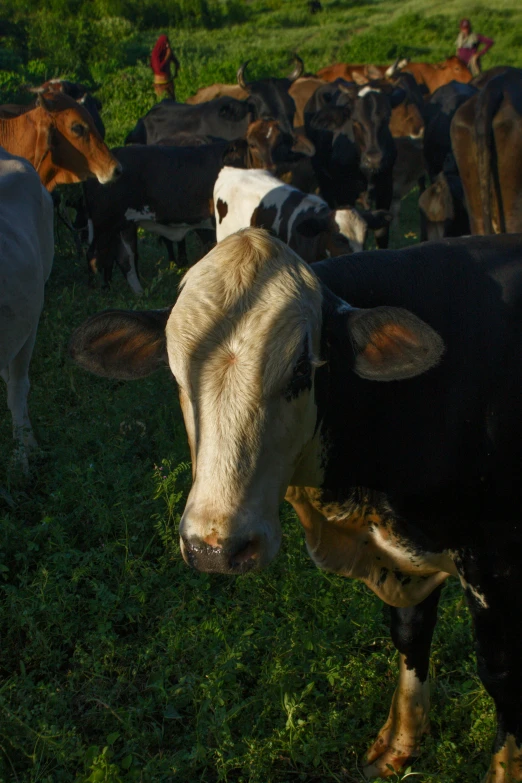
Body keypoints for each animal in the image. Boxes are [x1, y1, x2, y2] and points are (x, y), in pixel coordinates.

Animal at [70, 230, 522, 783]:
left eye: (302, 370)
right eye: (176, 376)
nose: (216, 549)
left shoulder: (495, 561)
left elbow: (500, 672)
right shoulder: (406, 560)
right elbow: (410, 636)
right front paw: (399, 746)